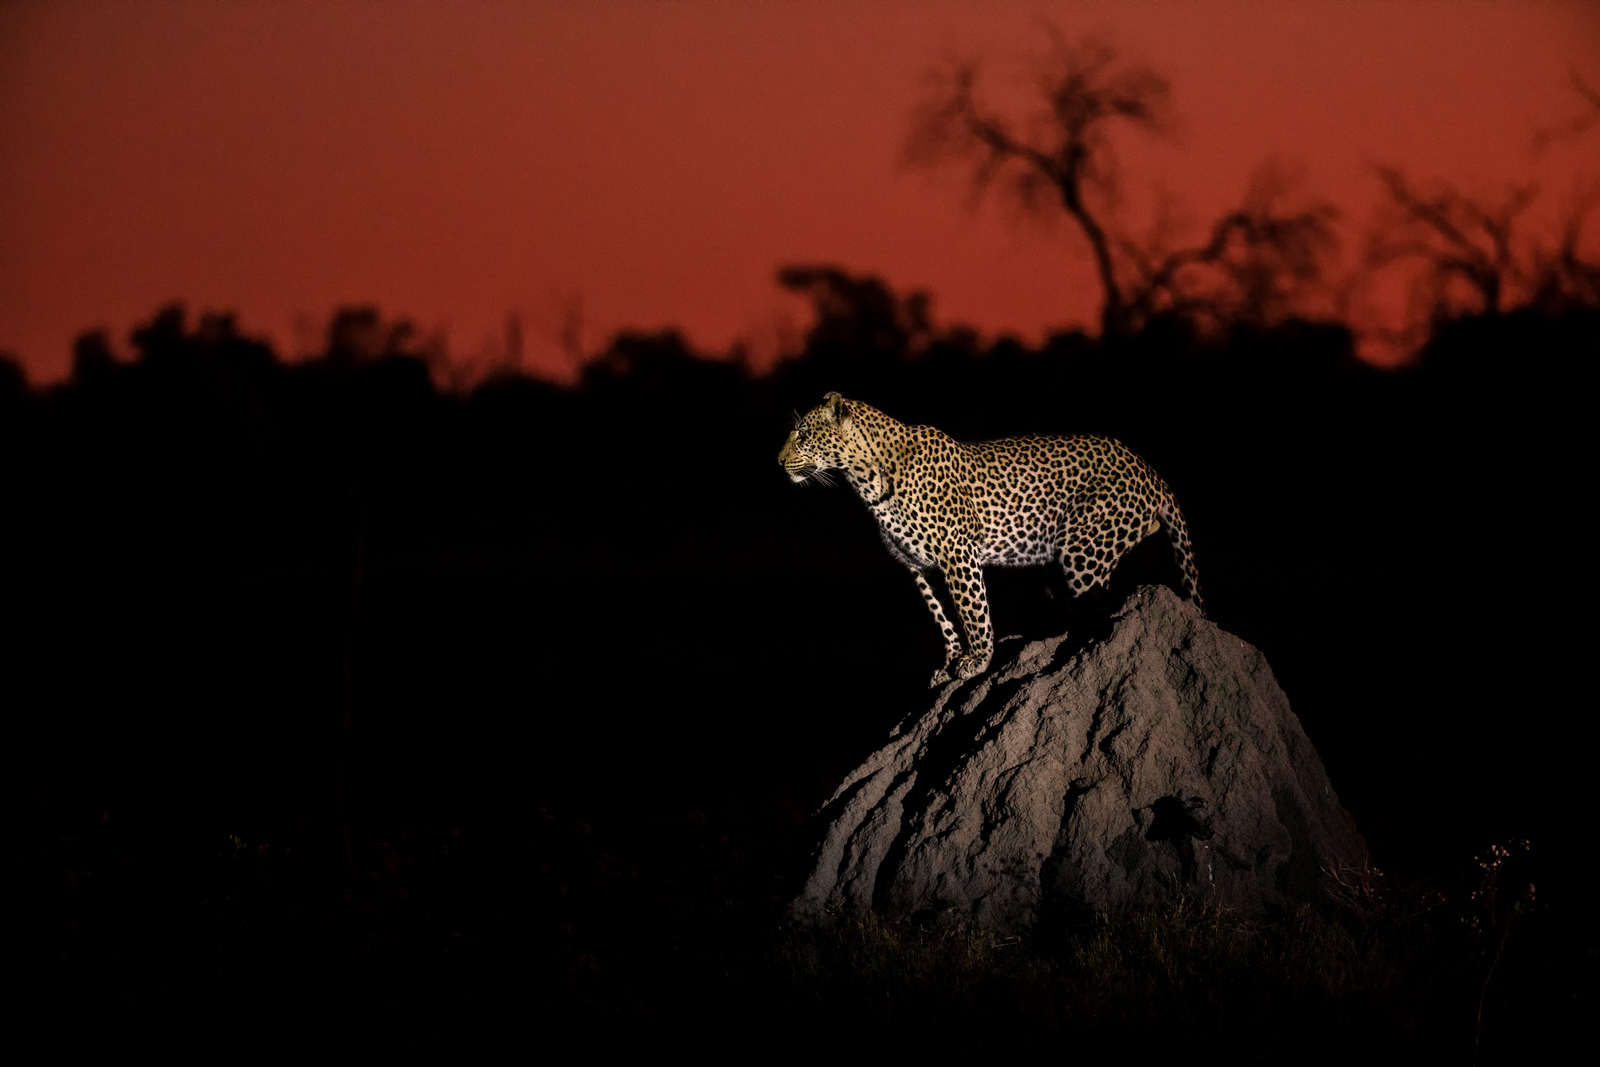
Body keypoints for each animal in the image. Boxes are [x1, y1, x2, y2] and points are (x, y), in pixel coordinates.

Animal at [777, 392, 1204, 686]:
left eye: (802, 435)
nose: (779, 462)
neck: (866, 477)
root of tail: (1151, 471)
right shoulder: (919, 566)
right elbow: (942, 616)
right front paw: (951, 661)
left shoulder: (956, 552)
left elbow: (972, 610)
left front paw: (978, 659)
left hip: (1083, 549)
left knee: (1096, 608)